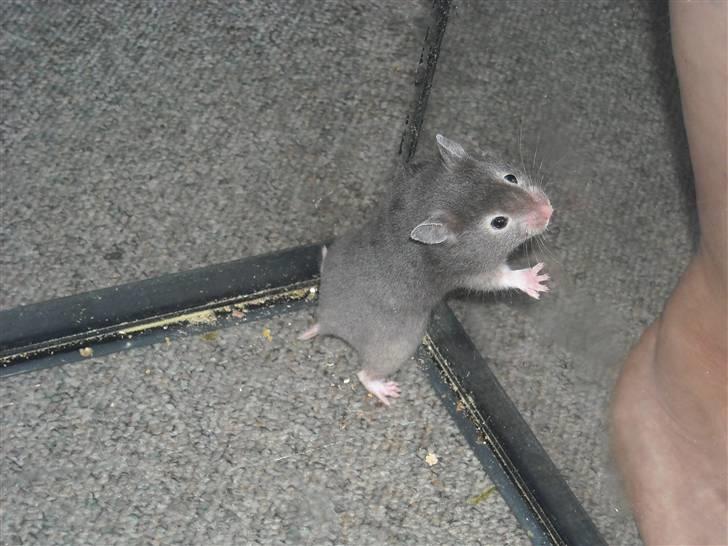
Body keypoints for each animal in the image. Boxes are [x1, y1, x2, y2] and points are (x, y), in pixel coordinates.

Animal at [300, 134, 553, 405]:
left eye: (511, 177)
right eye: (499, 222)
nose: (550, 210)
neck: (432, 196)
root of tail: (326, 321)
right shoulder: (473, 269)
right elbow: (500, 277)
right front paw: (537, 279)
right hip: (400, 344)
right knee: (364, 374)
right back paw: (388, 391)